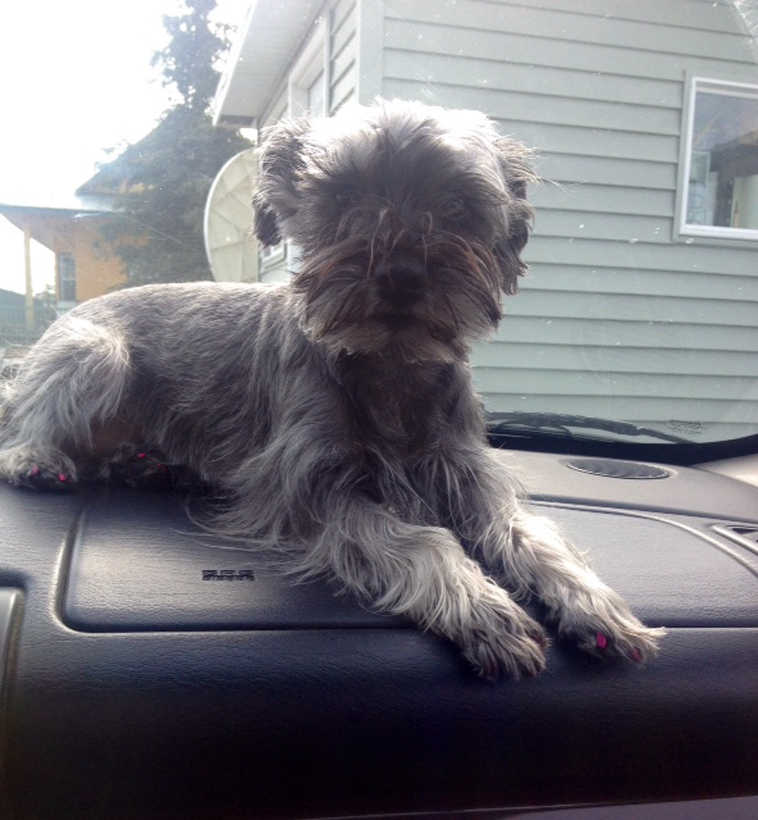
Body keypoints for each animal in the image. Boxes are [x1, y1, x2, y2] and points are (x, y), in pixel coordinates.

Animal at [0, 101, 664, 680]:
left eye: (456, 203)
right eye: (345, 196)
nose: (401, 273)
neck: (390, 366)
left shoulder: (466, 472)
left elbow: (530, 534)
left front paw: (589, 600)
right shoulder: (311, 489)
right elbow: (421, 539)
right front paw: (482, 607)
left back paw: (148, 464)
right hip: (94, 353)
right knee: (29, 424)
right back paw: (37, 458)